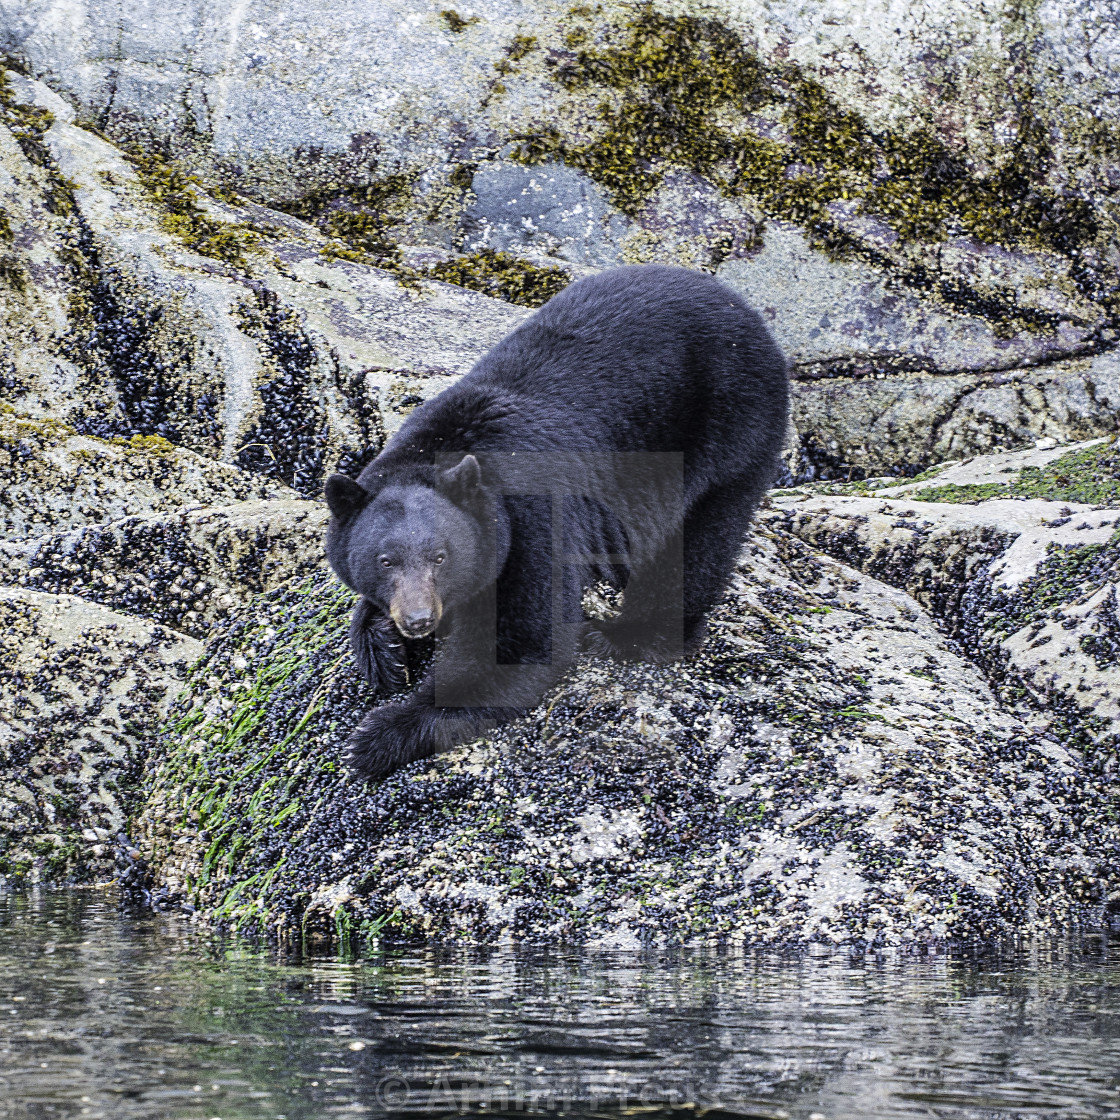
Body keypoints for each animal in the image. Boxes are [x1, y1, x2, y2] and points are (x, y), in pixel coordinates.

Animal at [327, 267, 788, 784]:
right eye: (385, 560)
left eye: (440, 557)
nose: (419, 619)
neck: (447, 445)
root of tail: (741, 306)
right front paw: (380, 646)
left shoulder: (533, 519)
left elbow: (523, 642)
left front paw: (382, 735)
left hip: (731, 426)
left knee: (695, 545)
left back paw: (628, 635)